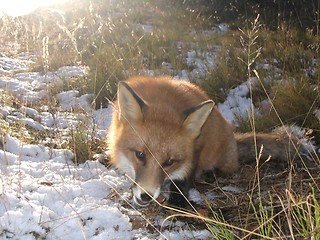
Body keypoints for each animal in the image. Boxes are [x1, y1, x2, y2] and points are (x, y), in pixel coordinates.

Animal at [107, 76, 300, 206]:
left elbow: (184, 179)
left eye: (169, 162)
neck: (164, 102)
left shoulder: (198, 145)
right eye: (139, 155)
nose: (146, 196)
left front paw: (179, 201)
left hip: (221, 158)